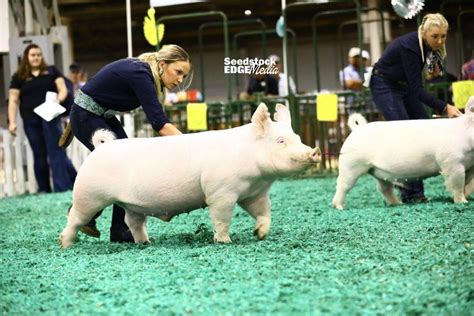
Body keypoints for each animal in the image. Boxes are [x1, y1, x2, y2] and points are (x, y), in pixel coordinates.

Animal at [58, 102, 318, 248]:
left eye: (297, 137)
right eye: (280, 141)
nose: (313, 152)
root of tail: (100, 147)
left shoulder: (255, 194)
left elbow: (264, 213)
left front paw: (260, 234)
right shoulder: (220, 193)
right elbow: (222, 218)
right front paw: (225, 241)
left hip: (132, 204)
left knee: (133, 222)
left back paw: (145, 243)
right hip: (88, 195)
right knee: (74, 218)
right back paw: (66, 245)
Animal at [332, 97, 474, 210]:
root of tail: (357, 128)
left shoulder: (470, 166)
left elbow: (469, 183)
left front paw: (467, 197)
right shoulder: (451, 163)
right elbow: (457, 183)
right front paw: (462, 202)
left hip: (378, 171)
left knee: (384, 188)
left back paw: (397, 204)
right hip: (351, 166)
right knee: (342, 185)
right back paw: (339, 207)